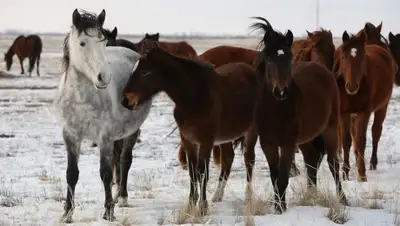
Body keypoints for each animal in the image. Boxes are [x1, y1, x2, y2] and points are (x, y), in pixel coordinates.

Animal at [121, 39, 260, 215]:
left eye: (145, 72)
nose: (125, 100)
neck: (194, 98)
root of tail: (250, 70)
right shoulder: (188, 141)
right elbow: (193, 173)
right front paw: (191, 204)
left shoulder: (206, 141)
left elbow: (202, 173)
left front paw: (202, 207)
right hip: (226, 137)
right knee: (228, 159)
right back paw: (217, 195)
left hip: (251, 132)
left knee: (249, 160)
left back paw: (248, 196)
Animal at [244, 16, 346, 213]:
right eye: (269, 58)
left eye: (289, 57)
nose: (281, 91)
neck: (276, 110)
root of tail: (322, 69)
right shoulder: (268, 144)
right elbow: (275, 176)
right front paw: (278, 206)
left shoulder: (288, 144)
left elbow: (283, 177)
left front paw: (281, 209)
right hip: (306, 140)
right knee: (312, 161)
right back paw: (311, 194)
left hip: (330, 129)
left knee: (333, 163)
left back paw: (343, 199)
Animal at [336, 29, 396, 182]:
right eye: (343, 57)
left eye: (362, 57)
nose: (351, 87)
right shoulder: (343, 113)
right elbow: (346, 141)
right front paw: (345, 173)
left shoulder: (364, 112)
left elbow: (361, 140)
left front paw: (362, 174)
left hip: (382, 107)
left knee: (375, 132)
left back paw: (372, 163)